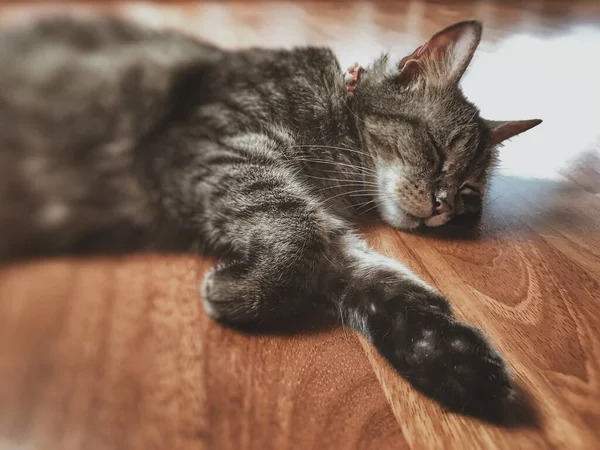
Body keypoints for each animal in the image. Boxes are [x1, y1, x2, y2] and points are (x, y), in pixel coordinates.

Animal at [0, 17, 540, 418]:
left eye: (468, 192)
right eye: (438, 151)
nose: (443, 205)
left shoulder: (327, 231)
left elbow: (387, 283)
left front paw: (454, 360)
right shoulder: (217, 153)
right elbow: (298, 236)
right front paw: (235, 292)